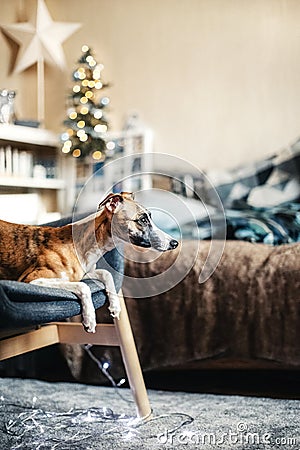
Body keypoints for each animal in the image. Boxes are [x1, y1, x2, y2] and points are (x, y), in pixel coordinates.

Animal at [0, 192, 178, 332]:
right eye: (142, 220)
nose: (174, 243)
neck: (78, 244)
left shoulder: (86, 271)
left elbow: (106, 274)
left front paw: (114, 306)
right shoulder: (32, 280)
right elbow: (83, 286)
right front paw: (90, 319)